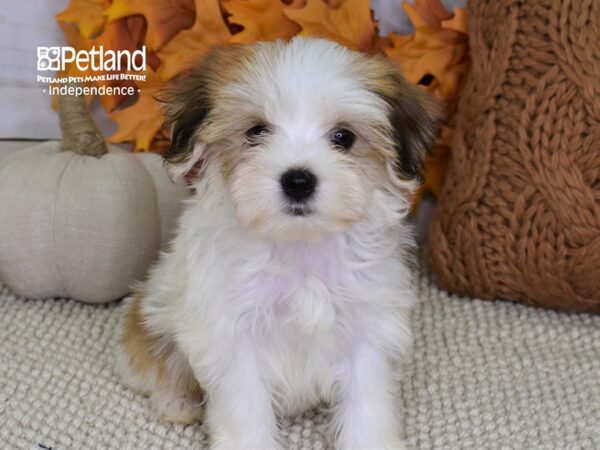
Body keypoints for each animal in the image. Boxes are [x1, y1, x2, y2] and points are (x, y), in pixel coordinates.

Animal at [115, 37, 438, 450]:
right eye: (256, 131)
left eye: (344, 137)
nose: (298, 180)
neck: (299, 245)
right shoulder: (233, 337)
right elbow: (245, 409)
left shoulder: (367, 330)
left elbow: (366, 405)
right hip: (151, 318)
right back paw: (178, 402)